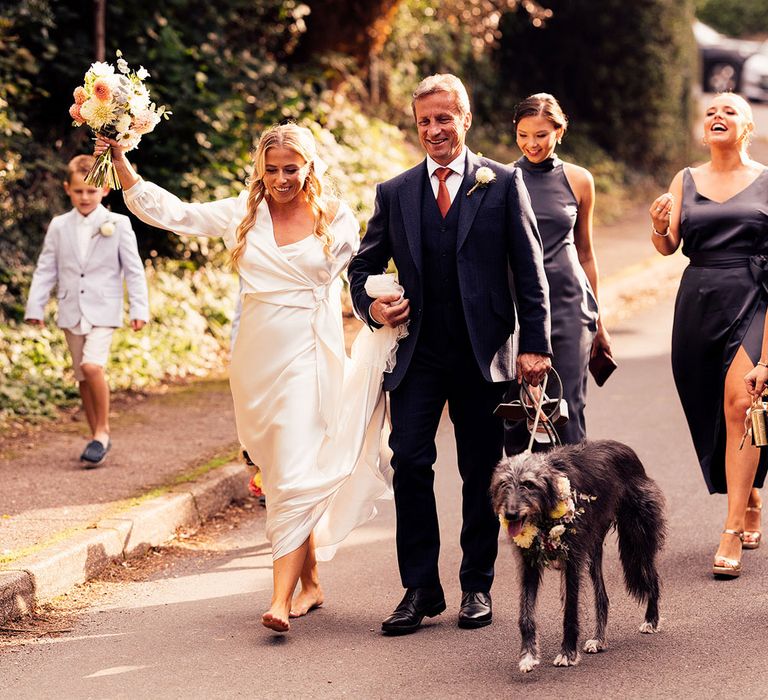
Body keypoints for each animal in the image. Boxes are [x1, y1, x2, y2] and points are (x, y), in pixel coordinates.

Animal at [492, 440, 664, 676]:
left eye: (528, 484)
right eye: (503, 484)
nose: (510, 515)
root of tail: (628, 451)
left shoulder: (572, 560)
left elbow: (570, 612)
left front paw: (567, 653)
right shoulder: (529, 564)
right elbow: (525, 615)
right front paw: (528, 656)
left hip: (638, 538)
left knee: (652, 578)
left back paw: (651, 619)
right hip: (593, 550)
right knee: (602, 596)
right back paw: (598, 639)